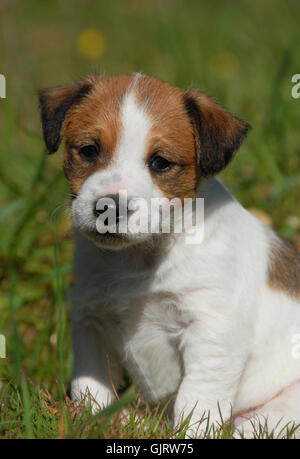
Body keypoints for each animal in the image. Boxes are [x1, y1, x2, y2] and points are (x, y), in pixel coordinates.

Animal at [38, 74, 300, 438]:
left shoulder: (211, 332)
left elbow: (197, 399)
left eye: (160, 162)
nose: (108, 207)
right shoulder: (92, 323)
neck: (141, 258)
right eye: (89, 150)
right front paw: (90, 422)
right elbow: (91, 387)